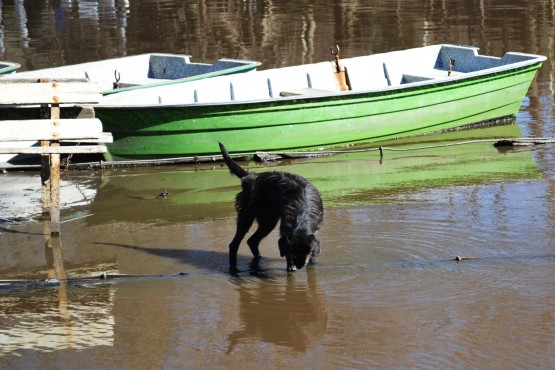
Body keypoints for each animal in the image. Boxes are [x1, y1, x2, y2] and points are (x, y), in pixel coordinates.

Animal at [219, 143, 324, 274]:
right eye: (292, 253)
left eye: (306, 252)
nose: (298, 266)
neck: (301, 214)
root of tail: (251, 177)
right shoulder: (285, 235)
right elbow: (284, 247)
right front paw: (290, 266)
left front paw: (312, 261)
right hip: (246, 218)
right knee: (234, 245)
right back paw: (234, 269)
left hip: (268, 221)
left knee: (252, 241)